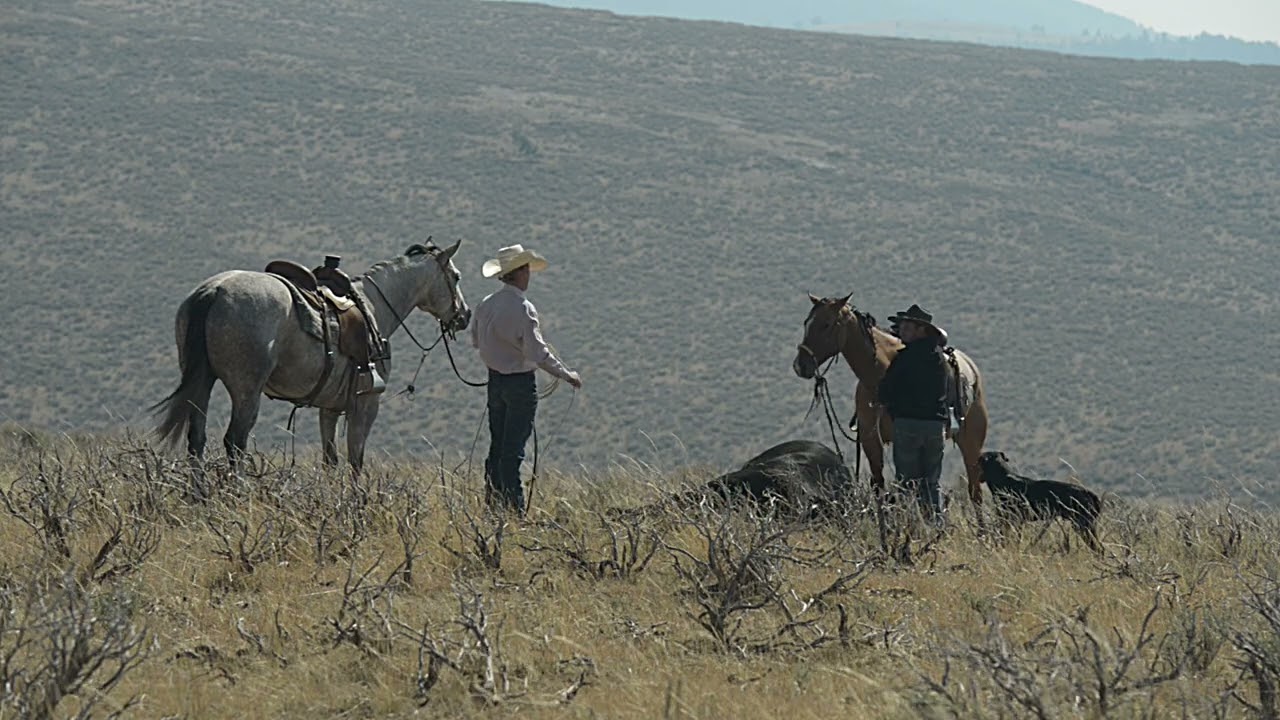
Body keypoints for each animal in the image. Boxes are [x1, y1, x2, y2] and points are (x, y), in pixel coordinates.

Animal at [151, 242, 469, 473]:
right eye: (456, 277)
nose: (464, 315)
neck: (374, 308)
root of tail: (213, 291)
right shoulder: (366, 403)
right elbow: (356, 460)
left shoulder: (329, 408)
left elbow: (330, 460)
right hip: (246, 390)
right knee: (235, 442)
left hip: (203, 381)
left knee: (197, 439)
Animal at [792, 294, 989, 509]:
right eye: (806, 323)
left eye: (826, 324)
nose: (800, 365)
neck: (879, 375)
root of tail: (970, 367)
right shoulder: (870, 441)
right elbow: (879, 487)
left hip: (970, 443)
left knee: (974, 492)